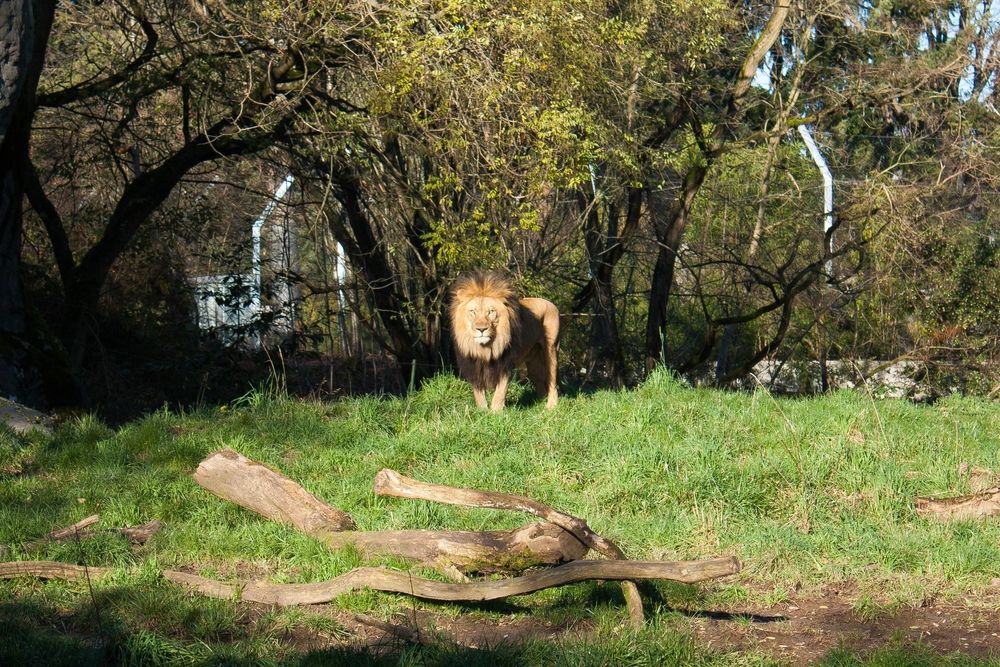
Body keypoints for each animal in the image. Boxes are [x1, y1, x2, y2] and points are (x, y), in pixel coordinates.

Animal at [450, 271, 560, 411]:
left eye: (490, 312)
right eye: (473, 312)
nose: (481, 329)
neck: (485, 347)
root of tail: (550, 303)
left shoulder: (505, 363)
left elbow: (500, 392)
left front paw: (495, 412)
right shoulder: (474, 364)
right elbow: (478, 393)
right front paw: (482, 411)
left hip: (551, 349)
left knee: (553, 381)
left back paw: (551, 406)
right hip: (532, 359)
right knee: (539, 381)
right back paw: (539, 403)